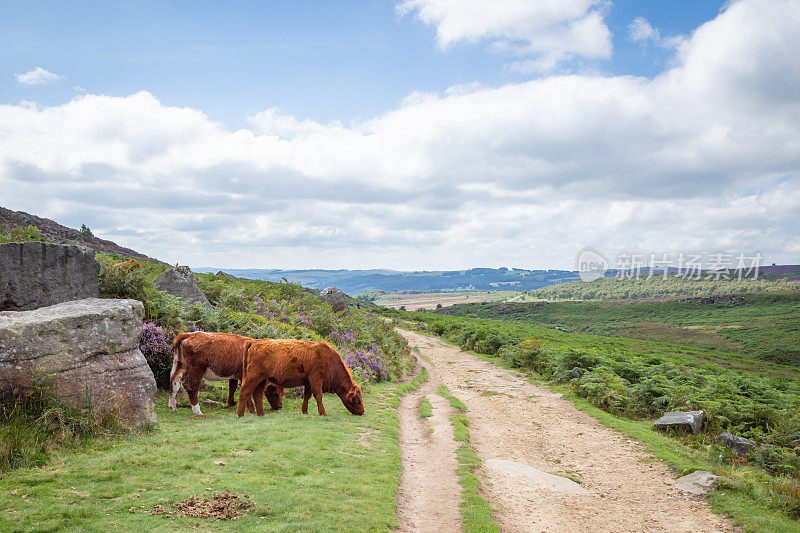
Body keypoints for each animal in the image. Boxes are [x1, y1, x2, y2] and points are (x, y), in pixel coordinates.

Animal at [236, 338, 364, 418]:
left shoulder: (308, 382)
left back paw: (261, 414)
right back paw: (240, 415)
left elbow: (307, 396)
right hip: (253, 377)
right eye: (357, 400)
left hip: (262, 379)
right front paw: (323, 413)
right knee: (245, 391)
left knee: (257, 394)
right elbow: (318, 396)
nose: (362, 411)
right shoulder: (316, 380)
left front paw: (305, 411)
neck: (330, 362)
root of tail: (255, 342)